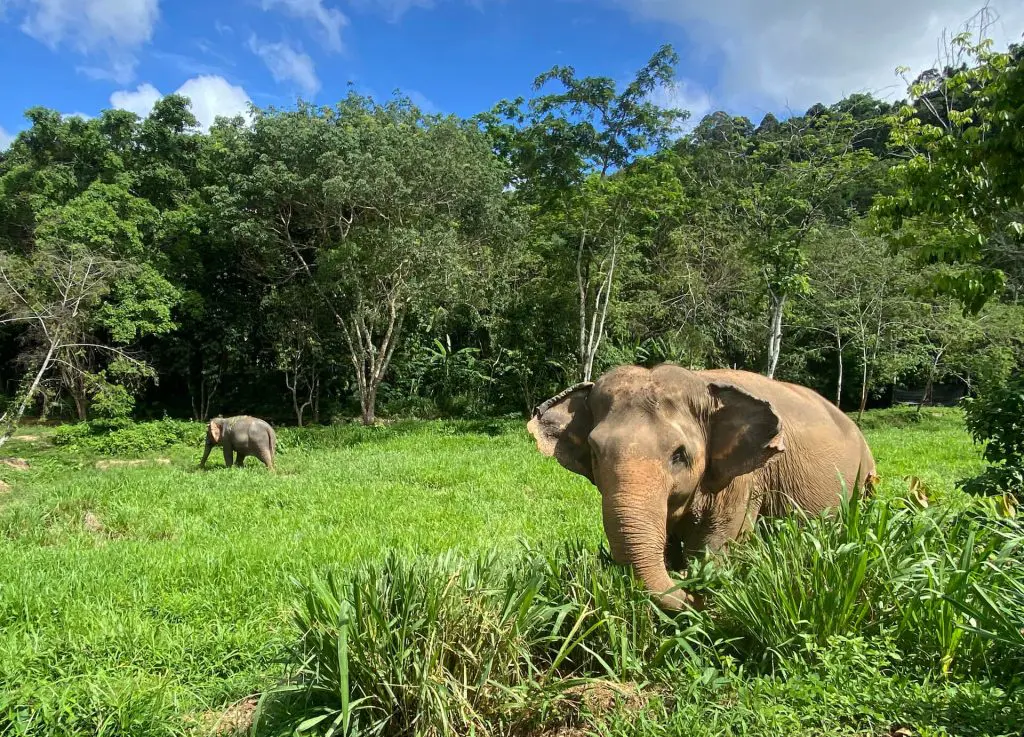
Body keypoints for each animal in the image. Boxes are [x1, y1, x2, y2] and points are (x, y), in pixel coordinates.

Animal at [528, 362, 880, 610]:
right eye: (595, 452)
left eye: (679, 455)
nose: (684, 579)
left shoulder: (745, 481)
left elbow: (718, 541)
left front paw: (701, 575)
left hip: (866, 475)